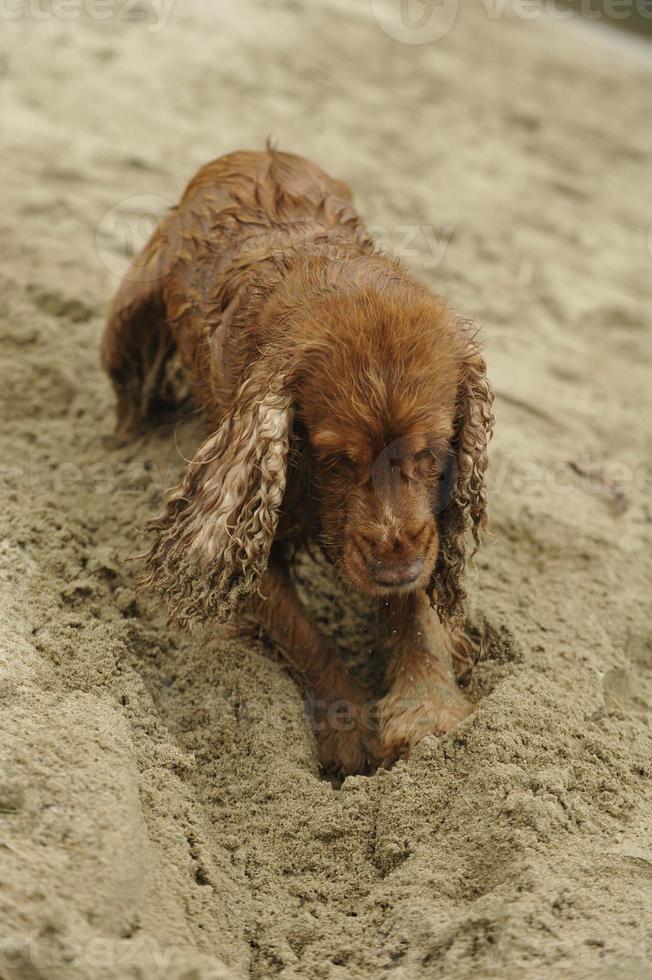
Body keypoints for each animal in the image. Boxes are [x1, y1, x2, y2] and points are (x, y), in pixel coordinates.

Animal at [100, 144, 494, 772]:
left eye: (432, 452)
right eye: (335, 459)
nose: (391, 563)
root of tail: (253, 151)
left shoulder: (424, 532)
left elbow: (417, 611)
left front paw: (426, 708)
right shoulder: (244, 527)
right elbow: (309, 638)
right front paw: (350, 730)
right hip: (126, 322)